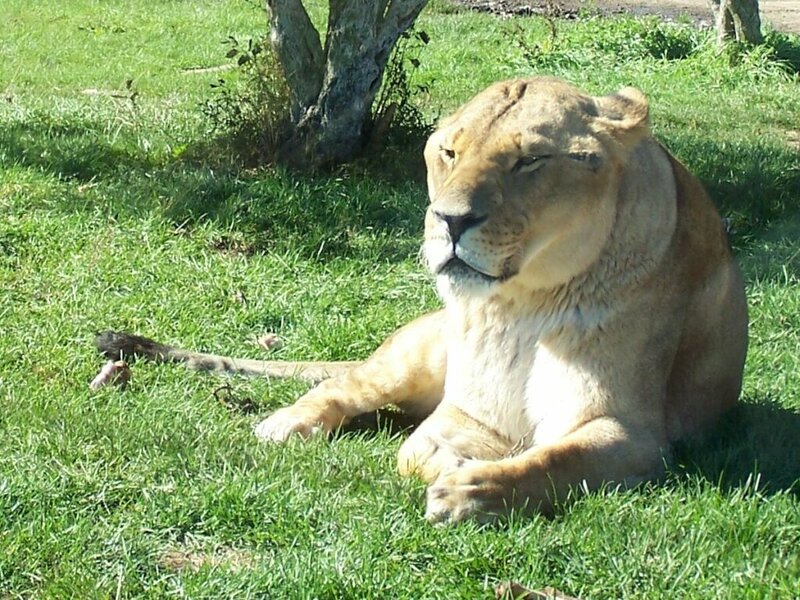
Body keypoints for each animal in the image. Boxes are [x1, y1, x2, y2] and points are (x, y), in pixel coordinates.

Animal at [96, 77, 748, 524]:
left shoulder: (636, 433)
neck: (523, 304)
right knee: (341, 385)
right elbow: (415, 451)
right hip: (408, 361)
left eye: (530, 159)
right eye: (450, 153)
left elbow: (553, 458)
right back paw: (287, 423)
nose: (450, 220)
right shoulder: (469, 412)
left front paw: (474, 489)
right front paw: (455, 466)